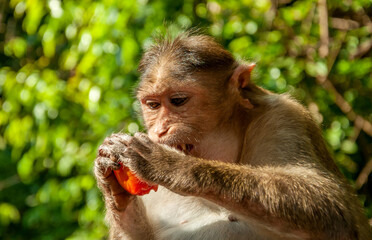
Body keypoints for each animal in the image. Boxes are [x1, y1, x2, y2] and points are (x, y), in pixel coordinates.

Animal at [93, 32, 372, 240]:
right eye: (152, 105)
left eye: (178, 101)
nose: (160, 130)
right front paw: (113, 191)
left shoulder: (285, 117)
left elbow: (332, 206)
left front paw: (170, 165)